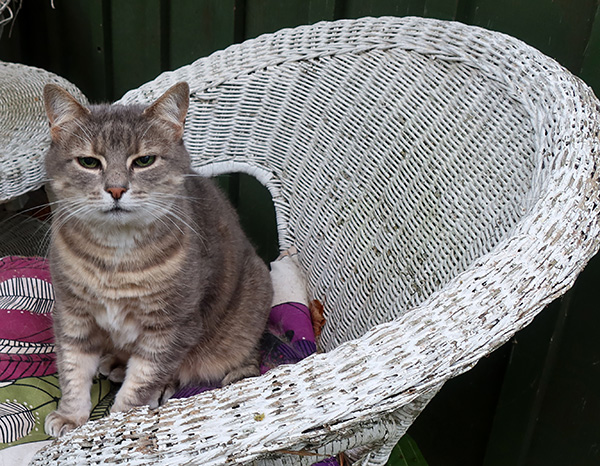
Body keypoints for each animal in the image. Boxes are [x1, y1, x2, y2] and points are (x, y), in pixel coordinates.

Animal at [42, 81, 274, 436]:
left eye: (145, 161)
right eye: (89, 162)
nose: (116, 190)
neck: (115, 257)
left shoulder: (172, 326)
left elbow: (141, 384)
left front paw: (116, 426)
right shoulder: (72, 312)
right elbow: (73, 369)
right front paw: (71, 416)